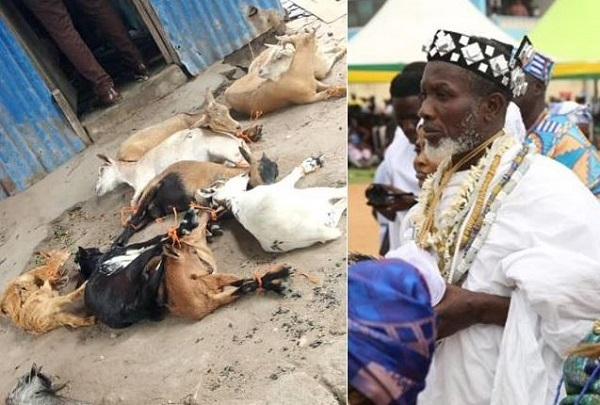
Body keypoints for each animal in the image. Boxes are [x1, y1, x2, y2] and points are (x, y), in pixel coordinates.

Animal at [95, 129, 248, 205]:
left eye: (101, 170)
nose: (96, 190)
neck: (132, 171)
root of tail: (239, 141)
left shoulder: (143, 183)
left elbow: (133, 202)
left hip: (224, 151)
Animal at [198, 156, 344, 251]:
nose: (245, 174)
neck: (234, 200)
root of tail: (321, 232)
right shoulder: (282, 185)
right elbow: (295, 173)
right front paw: (310, 163)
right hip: (316, 194)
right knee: (341, 194)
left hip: (329, 212)